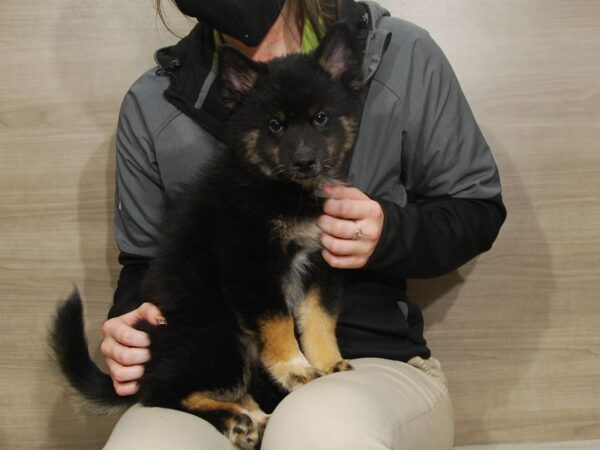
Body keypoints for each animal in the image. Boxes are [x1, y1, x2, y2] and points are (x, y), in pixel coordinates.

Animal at [51, 24, 364, 450]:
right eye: (275, 125)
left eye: (321, 118)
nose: (304, 162)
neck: (280, 190)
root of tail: (151, 365)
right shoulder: (249, 264)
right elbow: (279, 322)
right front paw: (294, 368)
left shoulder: (321, 261)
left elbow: (319, 319)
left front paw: (328, 363)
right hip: (217, 337)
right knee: (165, 393)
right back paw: (236, 420)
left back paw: (253, 419)